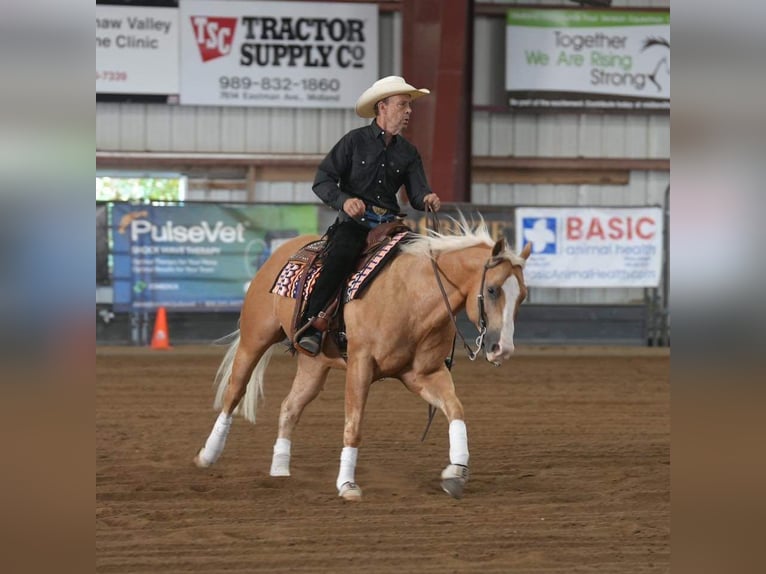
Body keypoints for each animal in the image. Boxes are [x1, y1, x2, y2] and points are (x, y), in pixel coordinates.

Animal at [195, 218, 532, 502]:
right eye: (492, 289)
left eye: (523, 295)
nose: (502, 348)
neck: (412, 294)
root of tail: (284, 252)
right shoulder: (360, 364)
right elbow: (353, 425)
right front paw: (347, 484)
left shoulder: (424, 374)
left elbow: (456, 410)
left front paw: (456, 473)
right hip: (255, 338)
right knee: (234, 391)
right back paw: (208, 454)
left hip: (314, 364)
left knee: (290, 407)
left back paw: (280, 469)